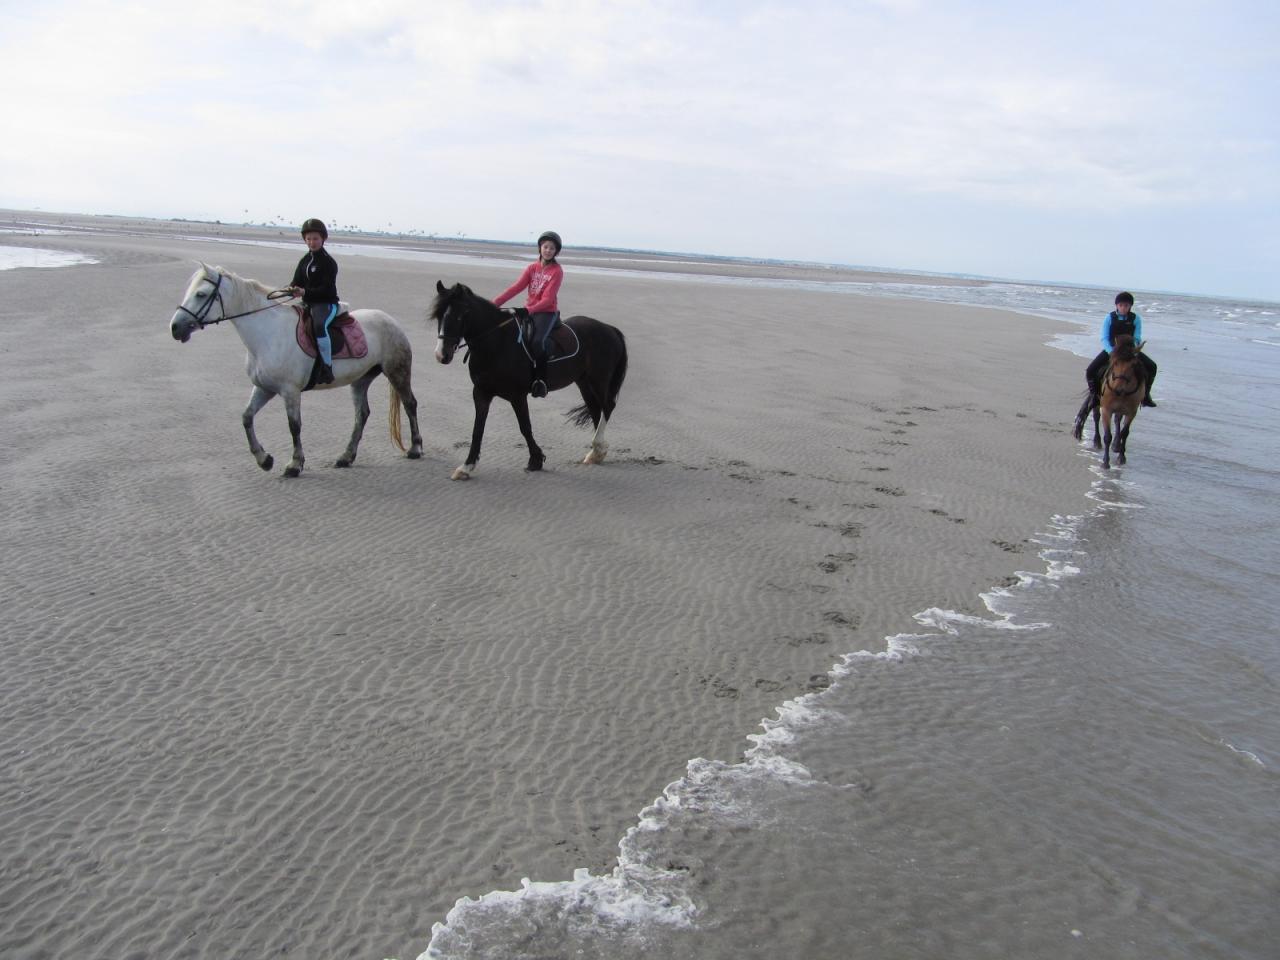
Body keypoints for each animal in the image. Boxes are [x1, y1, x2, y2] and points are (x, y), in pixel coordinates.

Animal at [170, 263, 424, 478]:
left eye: (201, 294)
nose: (175, 327)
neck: (268, 333)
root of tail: (390, 320)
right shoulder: (264, 388)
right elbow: (246, 418)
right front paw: (264, 459)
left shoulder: (289, 391)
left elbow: (294, 426)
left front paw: (294, 464)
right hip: (360, 380)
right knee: (361, 414)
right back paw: (346, 456)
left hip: (398, 372)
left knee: (410, 404)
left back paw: (415, 448)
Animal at [432, 284, 627, 481]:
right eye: (439, 316)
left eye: (460, 315)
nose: (442, 355)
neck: (497, 343)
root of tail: (609, 329)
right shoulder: (481, 393)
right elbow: (477, 429)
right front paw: (466, 467)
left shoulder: (517, 395)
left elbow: (525, 427)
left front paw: (536, 460)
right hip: (584, 382)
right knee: (595, 409)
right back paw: (596, 453)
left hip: (599, 379)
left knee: (607, 406)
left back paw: (598, 445)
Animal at [1095, 337, 1146, 471]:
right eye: (1115, 362)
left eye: (1133, 365)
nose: (1117, 389)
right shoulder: (1106, 410)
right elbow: (1107, 436)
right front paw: (1105, 462)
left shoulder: (1131, 412)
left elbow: (1125, 433)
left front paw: (1121, 456)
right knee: (1096, 416)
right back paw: (1096, 442)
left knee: (1118, 420)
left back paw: (1116, 445)